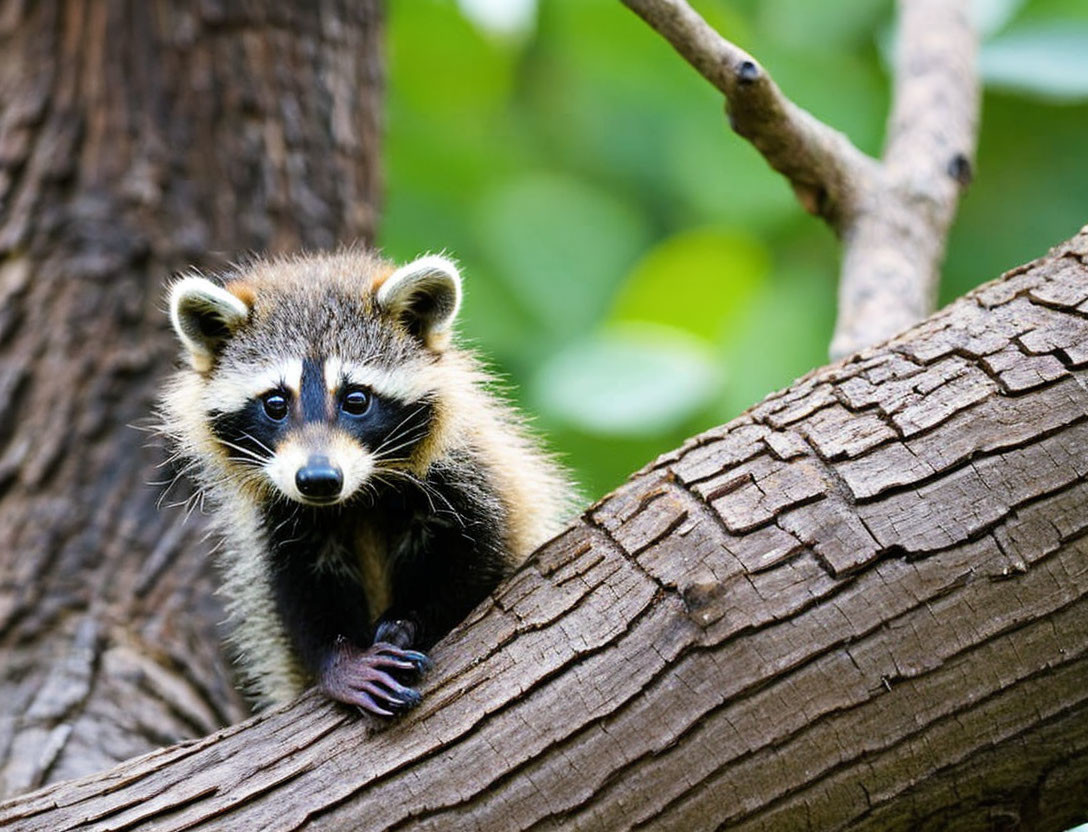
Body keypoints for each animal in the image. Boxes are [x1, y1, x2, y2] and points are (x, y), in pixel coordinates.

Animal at [158, 247, 578, 713]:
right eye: (275, 404)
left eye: (356, 399)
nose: (318, 479)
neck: (358, 496)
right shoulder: (280, 518)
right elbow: (298, 596)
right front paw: (339, 659)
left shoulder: (471, 477)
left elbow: (481, 559)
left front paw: (410, 621)